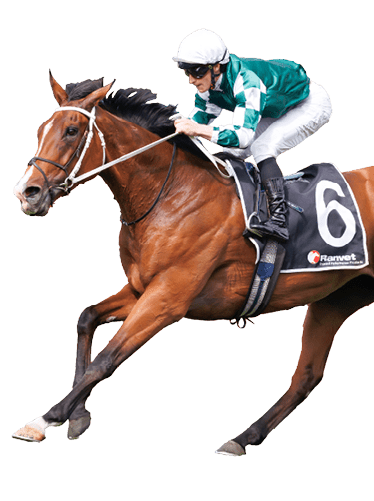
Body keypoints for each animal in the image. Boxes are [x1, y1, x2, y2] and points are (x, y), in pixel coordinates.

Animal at [11, 73, 374, 454]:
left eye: (71, 130)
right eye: (41, 129)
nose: (27, 192)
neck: (171, 193)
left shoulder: (169, 298)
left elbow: (106, 360)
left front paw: (45, 420)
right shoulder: (142, 288)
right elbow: (87, 318)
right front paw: (78, 414)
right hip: (337, 297)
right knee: (307, 375)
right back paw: (242, 438)